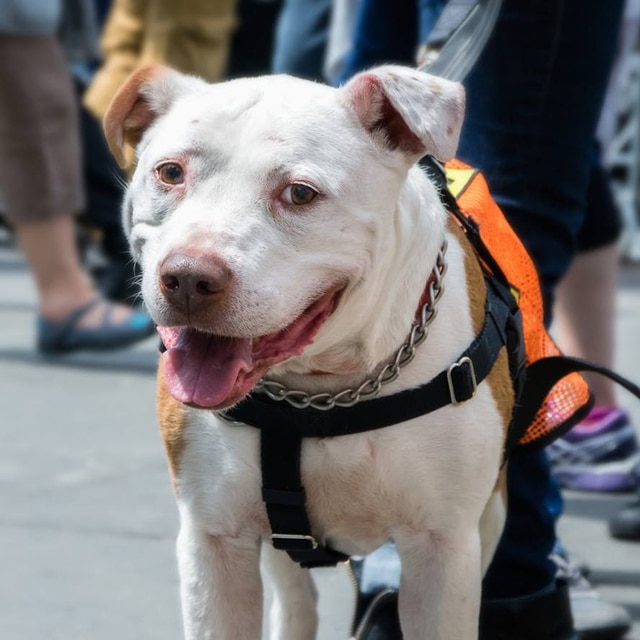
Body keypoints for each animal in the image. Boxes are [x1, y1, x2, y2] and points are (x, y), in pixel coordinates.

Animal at [106, 65, 516, 640]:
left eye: (300, 193)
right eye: (170, 172)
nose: (188, 278)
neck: (324, 391)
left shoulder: (444, 548)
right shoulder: (214, 539)